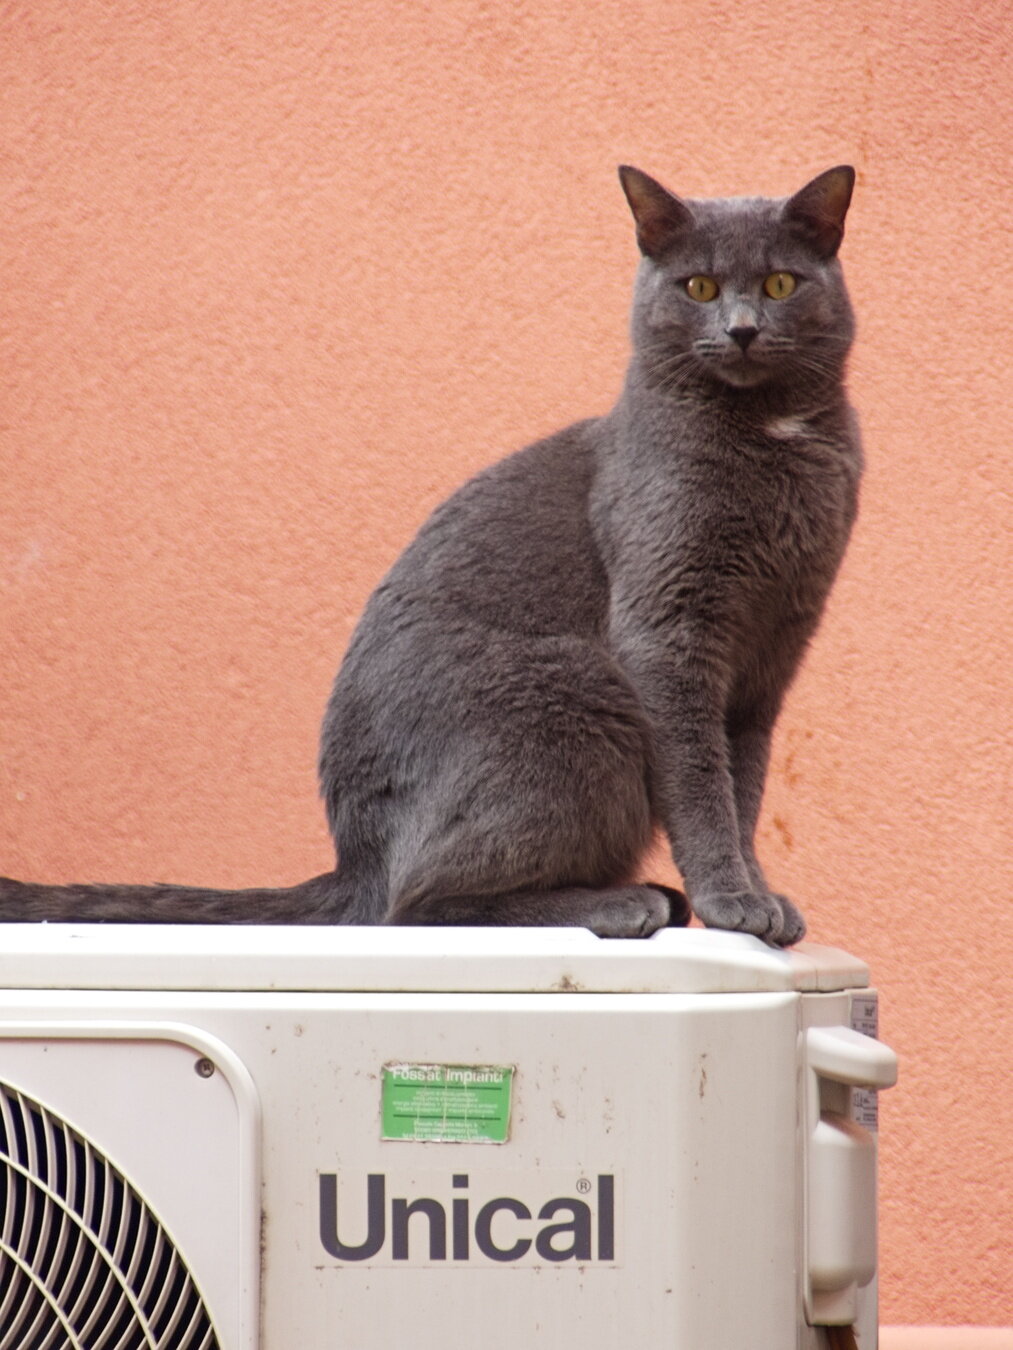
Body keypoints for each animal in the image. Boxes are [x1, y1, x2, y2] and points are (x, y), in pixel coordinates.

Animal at [0, 163, 861, 946]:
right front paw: (731, 902)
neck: (773, 441)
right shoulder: (667, 630)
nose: (741, 328)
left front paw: (755, 897)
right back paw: (621, 905)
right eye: (699, 288)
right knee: (418, 901)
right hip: (571, 688)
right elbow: (699, 781)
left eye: (779, 282)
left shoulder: (770, 656)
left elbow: (741, 787)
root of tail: (355, 859)